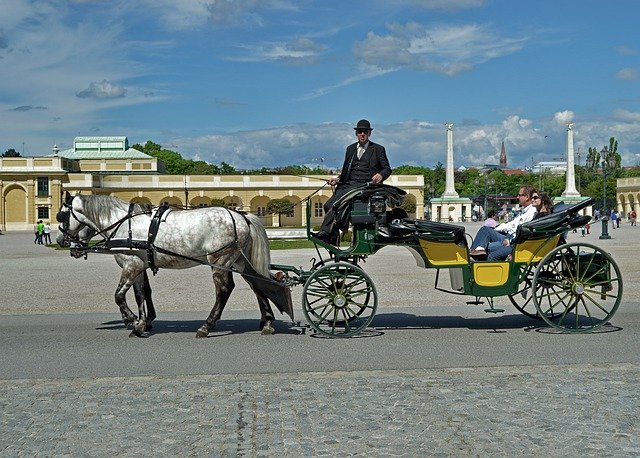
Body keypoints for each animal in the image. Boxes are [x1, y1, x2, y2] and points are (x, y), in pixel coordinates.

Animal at [57, 191, 292, 338]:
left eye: (61, 215)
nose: (61, 241)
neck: (125, 225)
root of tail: (240, 216)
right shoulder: (138, 266)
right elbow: (140, 295)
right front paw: (141, 323)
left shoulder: (131, 266)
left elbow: (119, 296)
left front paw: (132, 320)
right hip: (240, 261)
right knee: (257, 285)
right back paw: (267, 323)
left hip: (220, 260)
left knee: (224, 290)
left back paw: (206, 326)